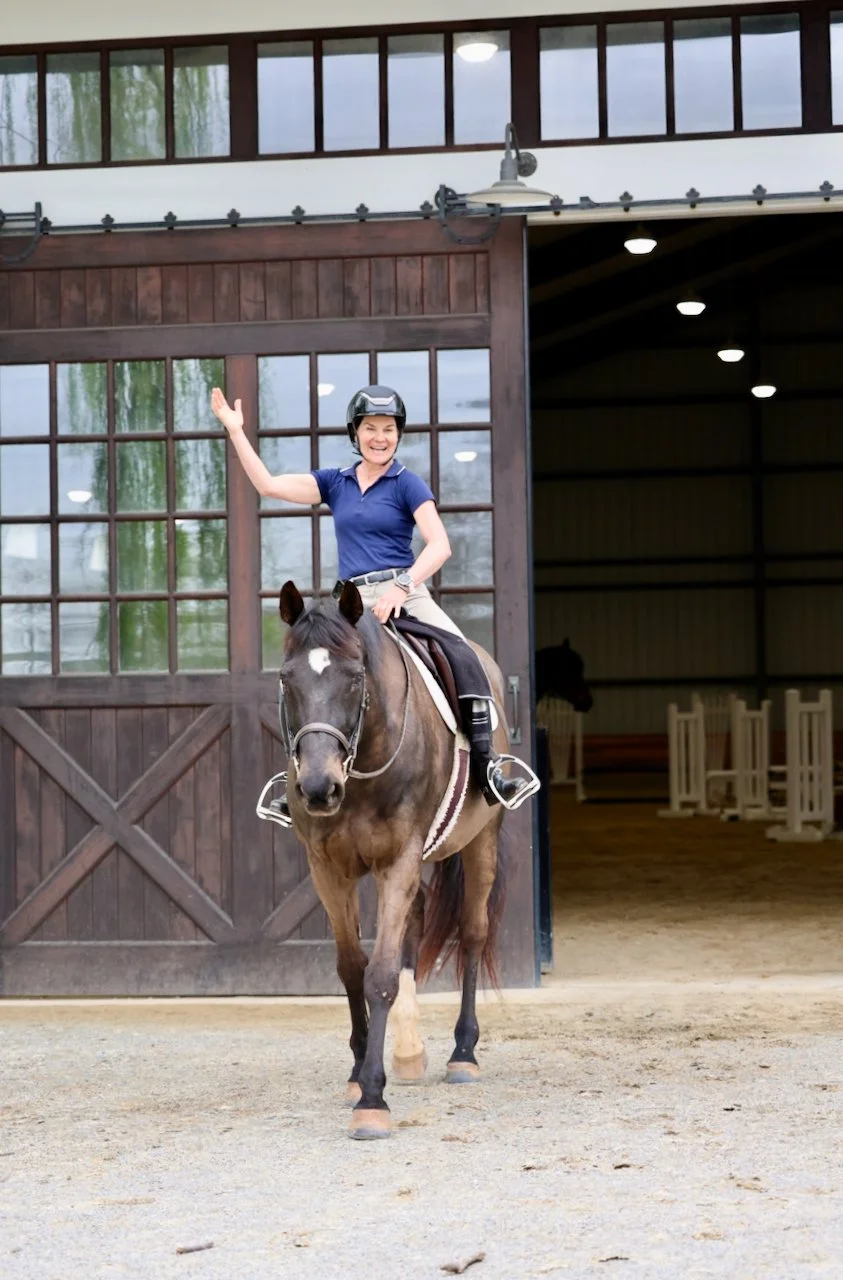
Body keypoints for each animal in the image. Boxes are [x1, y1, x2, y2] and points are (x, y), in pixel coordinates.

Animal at [275, 579, 512, 1140]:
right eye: (286, 678)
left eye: (354, 678)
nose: (318, 788)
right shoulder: (328, 869)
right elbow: (351, 968)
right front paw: (359, 1072)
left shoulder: (399, 859)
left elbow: (379, 975)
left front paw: (372, 1100)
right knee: (416, 921)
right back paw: (407, 1052)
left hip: (482, 840)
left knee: (472, 933)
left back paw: (463, 1053)